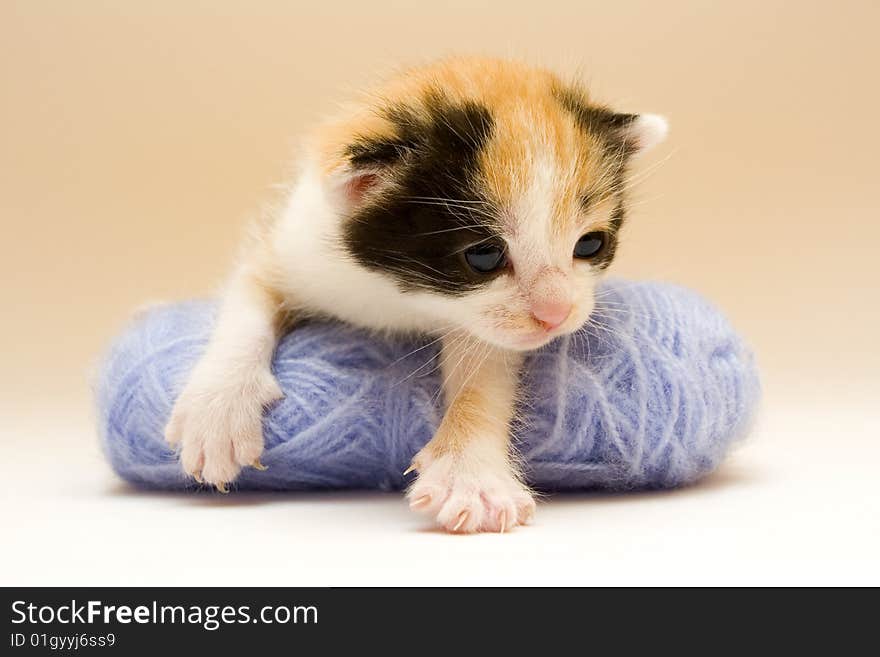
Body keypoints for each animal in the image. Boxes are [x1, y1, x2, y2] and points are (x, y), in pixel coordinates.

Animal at [163, 57, 668, 532]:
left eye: (590, 244)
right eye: (484, 255)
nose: (557, 313)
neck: (402, 296)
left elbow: (485, 370)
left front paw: (470, 475)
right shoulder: (295, 248)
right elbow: (247, 300)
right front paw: (218, 410)